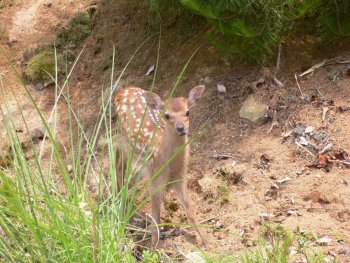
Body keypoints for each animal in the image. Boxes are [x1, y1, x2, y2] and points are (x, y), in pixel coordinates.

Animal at [114, 85, 208, 250]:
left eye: (187, 112)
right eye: (167, 115)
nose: (181, 128)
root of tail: (123, 90)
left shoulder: (180, 177)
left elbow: (190, 211)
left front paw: (207, 243)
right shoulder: (154, 178)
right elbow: (156, 218)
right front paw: (153, 248)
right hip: (125, 143)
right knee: (119, 166)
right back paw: (123, 205)